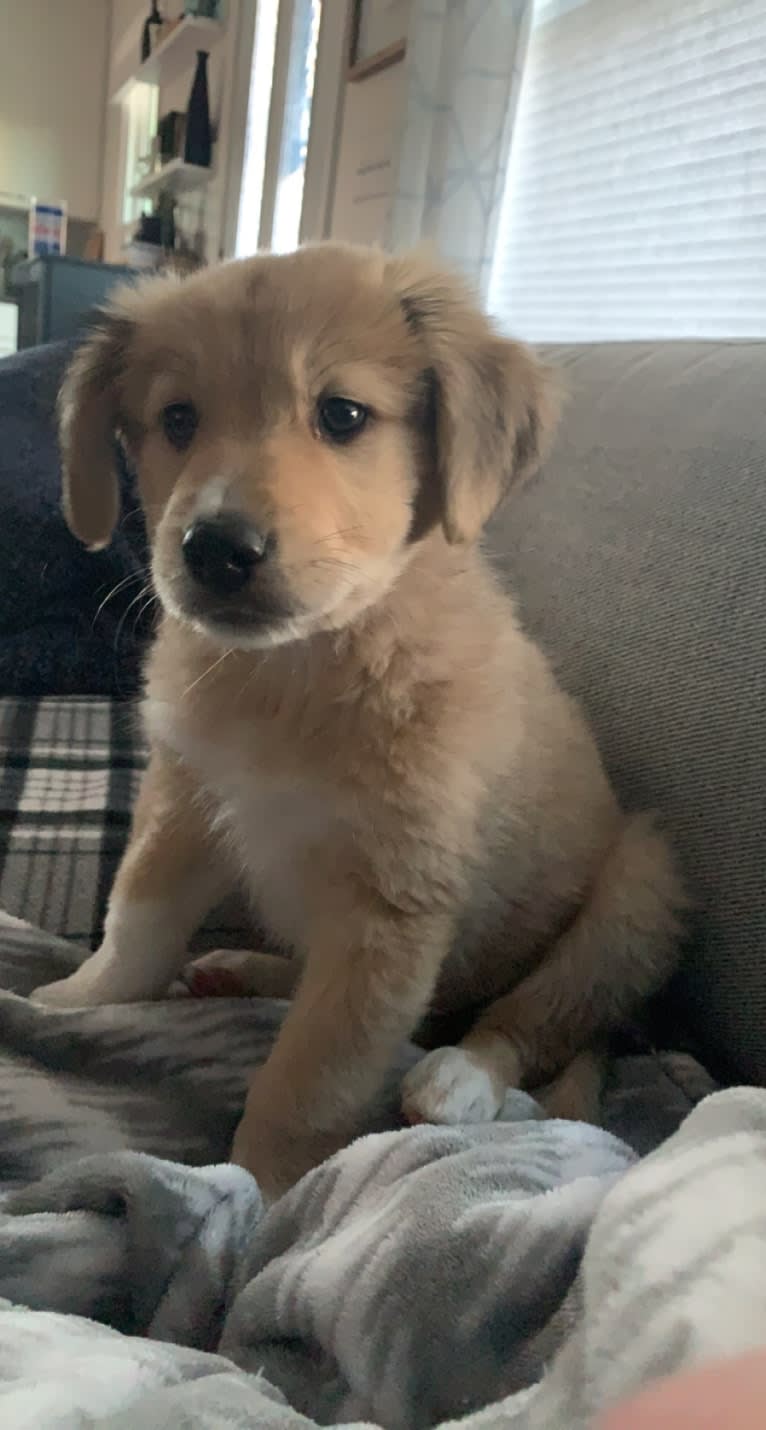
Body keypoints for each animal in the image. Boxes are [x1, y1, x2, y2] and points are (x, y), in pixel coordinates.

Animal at [34, 243, 683, 1195]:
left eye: (342, 414)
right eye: (177, 419)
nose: (215, 549)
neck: (296, 670)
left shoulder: (391, 909)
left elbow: (312, 1072)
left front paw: (264, 1195)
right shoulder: (185, 799)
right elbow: (137, 919)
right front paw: (75, 1000)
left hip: (640, 888)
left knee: (543, 1018)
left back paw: (462, 1078)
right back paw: (245, 967)